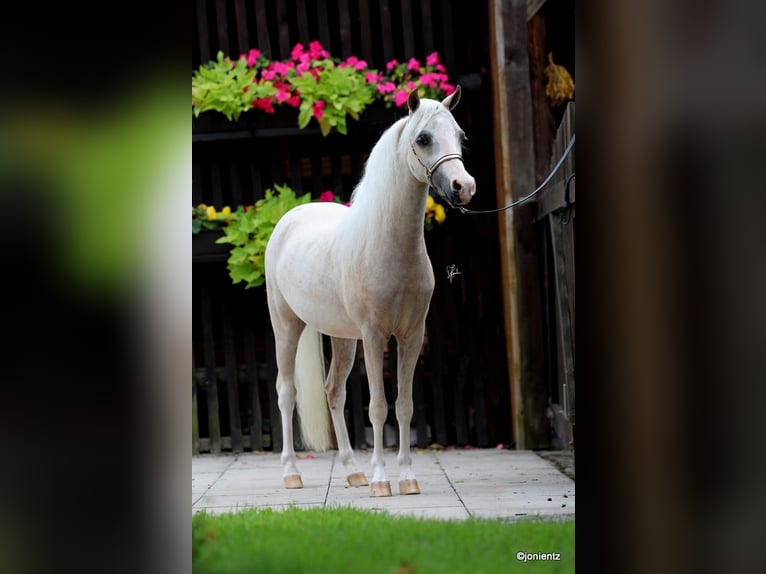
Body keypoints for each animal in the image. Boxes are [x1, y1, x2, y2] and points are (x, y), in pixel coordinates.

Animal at [264, 86, 476, 497]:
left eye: (460, 136)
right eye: (423, 139)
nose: (464, 187)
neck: (389, 246)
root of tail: (289, 219)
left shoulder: (411, 336)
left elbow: (405, 405)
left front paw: (406, 478)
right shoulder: (375, 336)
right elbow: (378, 406)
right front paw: (381, 481)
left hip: (342, 338)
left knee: (334, 391)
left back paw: (352, 471)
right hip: (286, 326)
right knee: (285, 392)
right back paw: (292, 473)